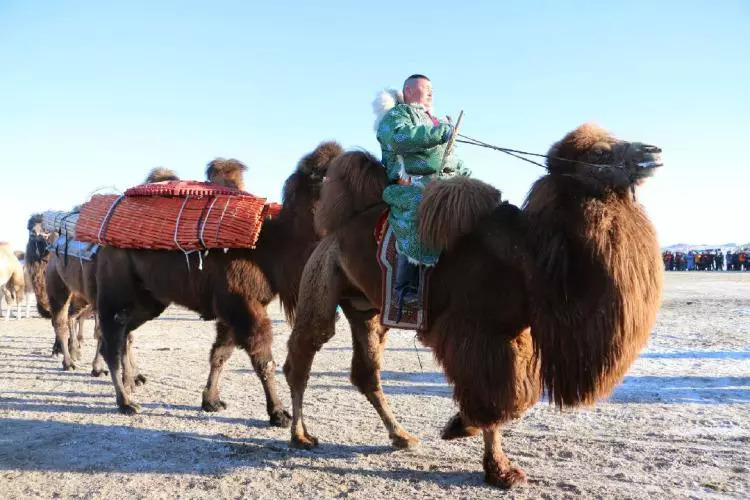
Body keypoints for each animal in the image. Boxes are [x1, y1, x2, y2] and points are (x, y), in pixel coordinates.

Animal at [95, 142, 342, 426]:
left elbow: (220, 354)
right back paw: (126, 402)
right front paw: (278, 413)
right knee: (112, 341)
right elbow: (263, 360)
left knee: (124, 333)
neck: (271, 246)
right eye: (322, 173)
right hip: (117, 289)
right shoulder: (241, 303)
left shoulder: (233, 309)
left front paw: (211, 401)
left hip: (150, 299)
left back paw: (129, 386)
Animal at [284, 124, 664, 488]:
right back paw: (300, 435)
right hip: (321, 282)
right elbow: (493, 397)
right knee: (302, 355)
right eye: (600, 152)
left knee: (366, 371)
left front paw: (461, 427)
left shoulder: (517, 335)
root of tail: (332, 231)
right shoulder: (479, 332)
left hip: (365, 310)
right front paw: (499, 470)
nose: (653, 151)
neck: (529, 262)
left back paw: (401, 436)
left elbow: (518, 398)